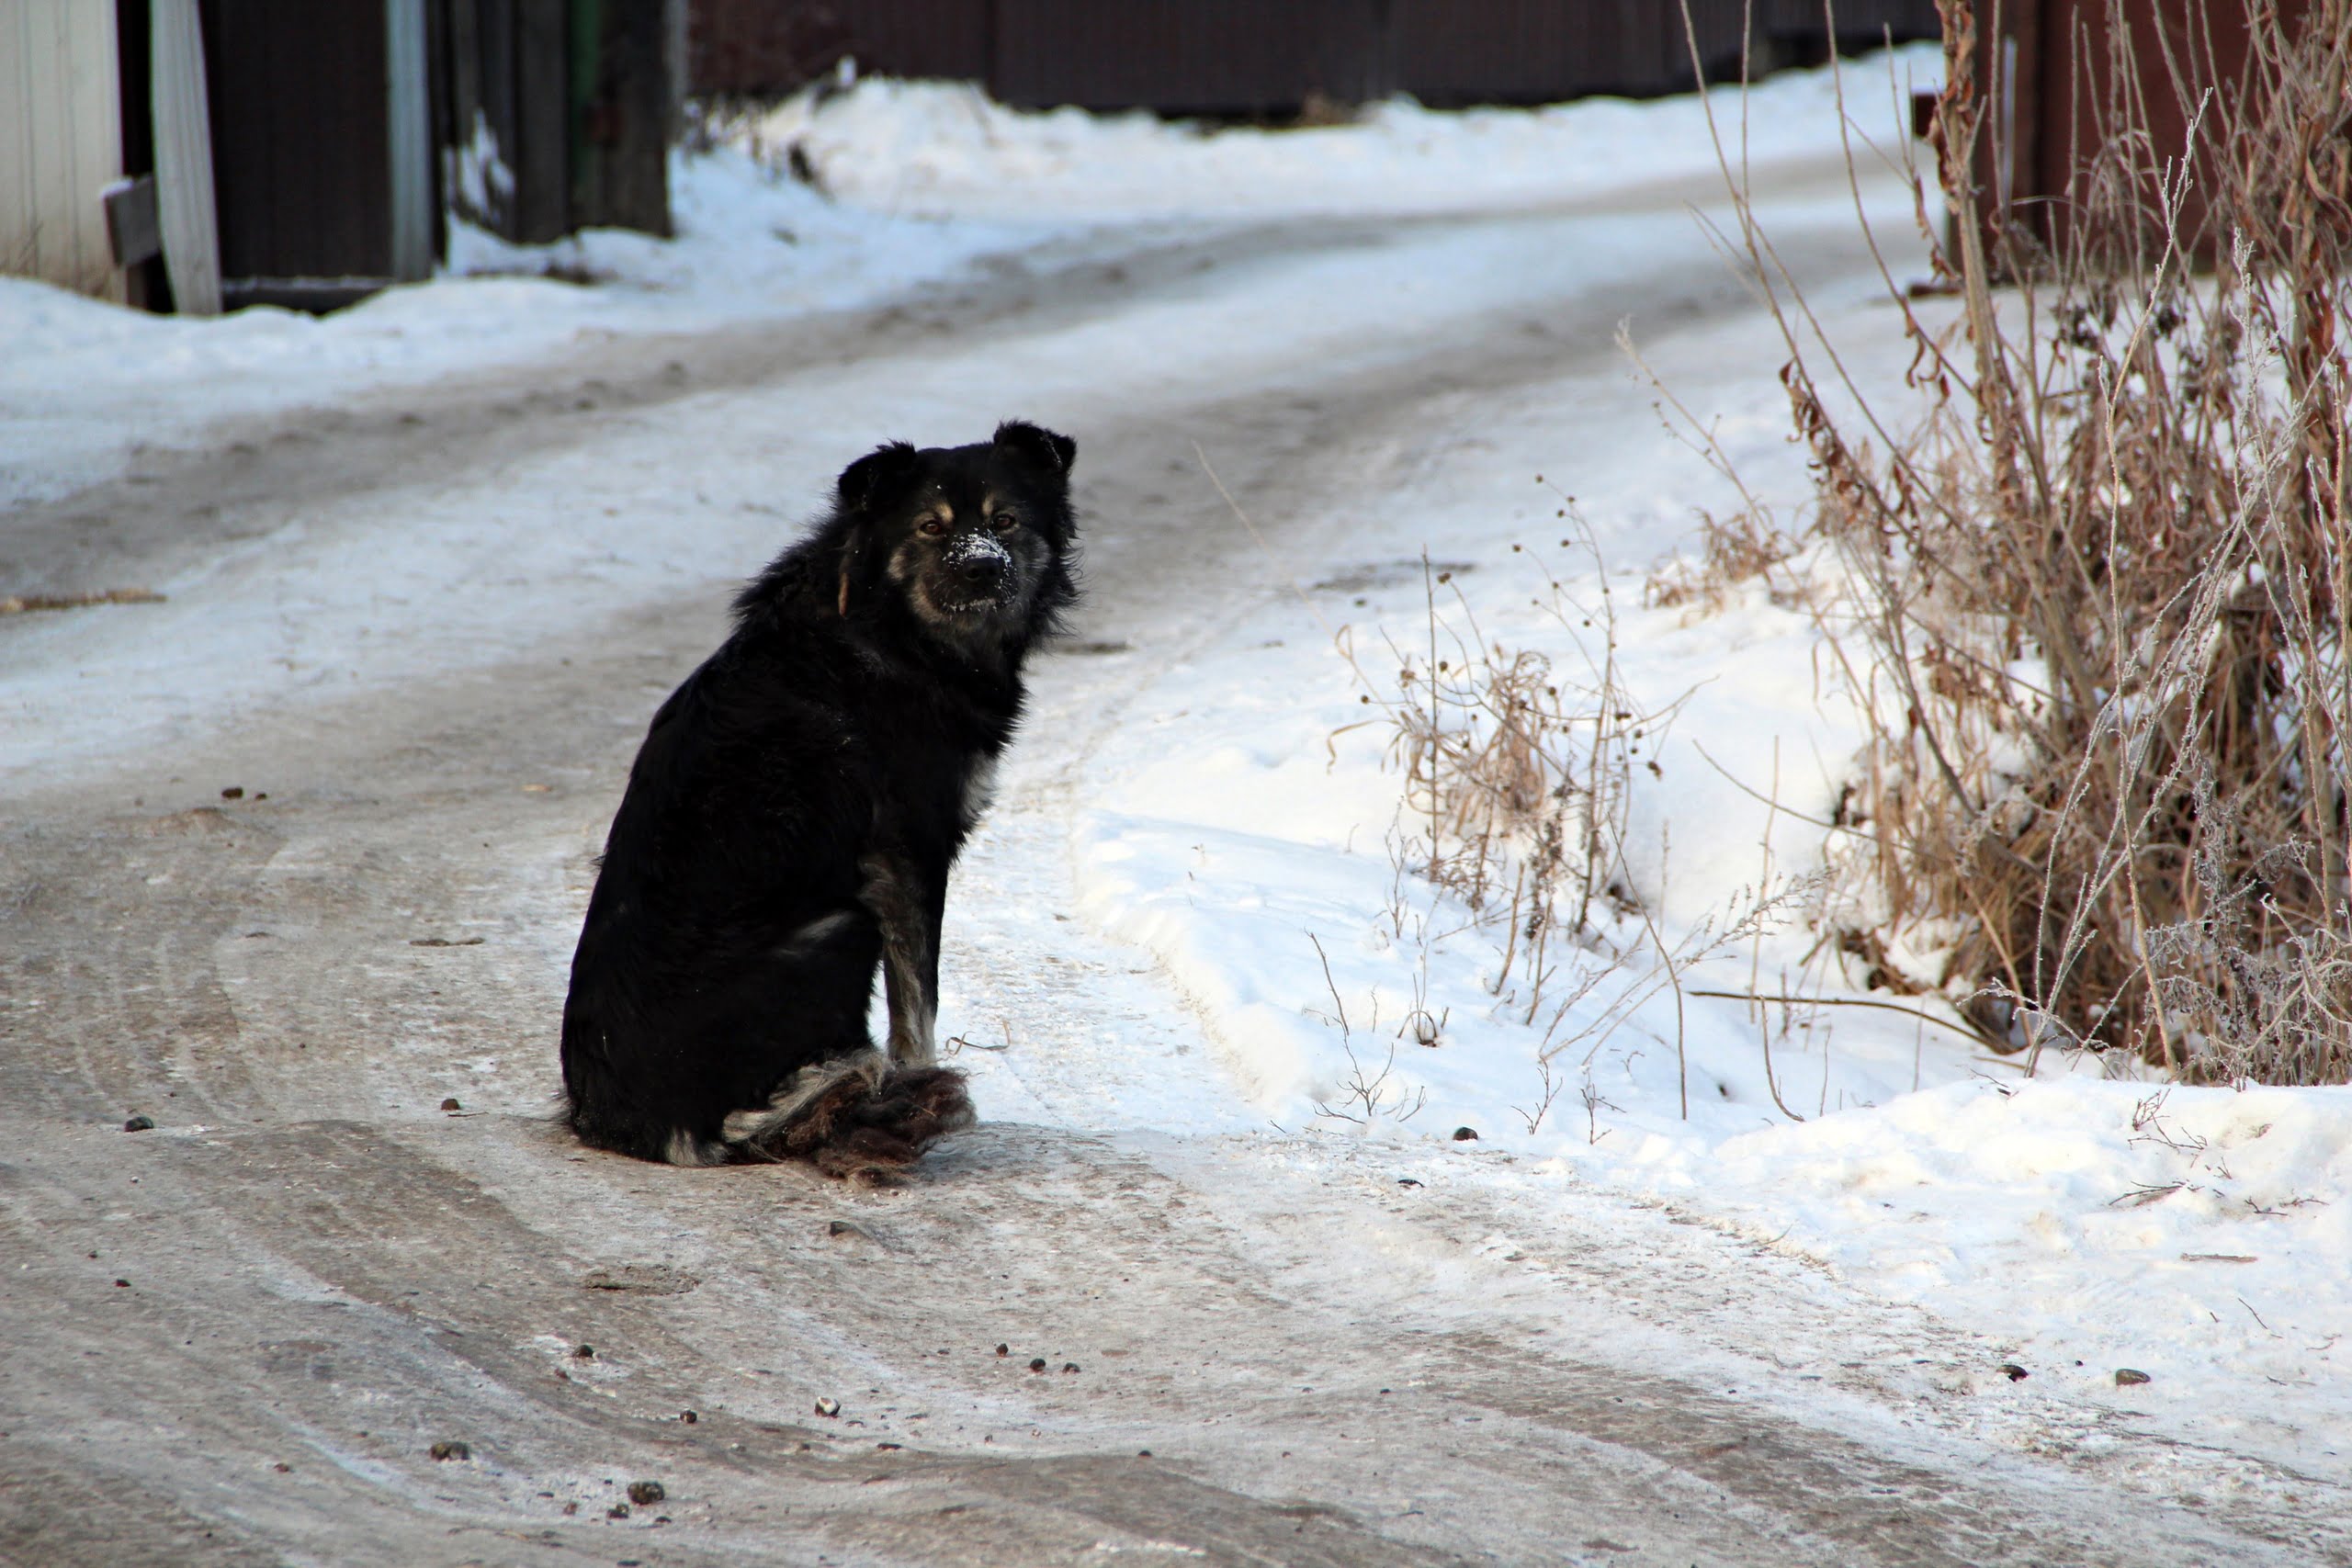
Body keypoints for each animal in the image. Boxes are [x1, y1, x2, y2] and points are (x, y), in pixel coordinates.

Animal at [560, 421, 1081, 1175]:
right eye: (929, 527)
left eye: (1005, 521)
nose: (981, 567)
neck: (888, 626)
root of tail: (637, 1124)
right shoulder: (907, 855)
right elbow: (917, 1007)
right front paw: (918, 1077)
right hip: (840, 925)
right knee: (756, 1119)